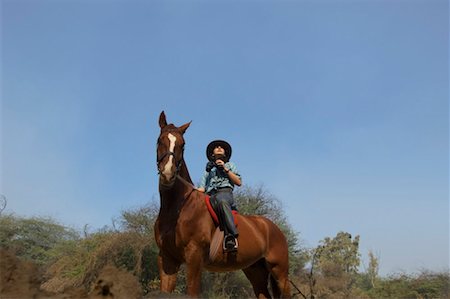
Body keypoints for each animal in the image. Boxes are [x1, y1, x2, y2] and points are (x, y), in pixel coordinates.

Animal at [155, 111, 292, 298]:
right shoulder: (167, 260)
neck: (178, 209)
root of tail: (273, 228)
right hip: (255, 271)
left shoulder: (194, 258)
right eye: (159, 140)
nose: (168, 174)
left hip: (280, 273)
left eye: (182, 145)